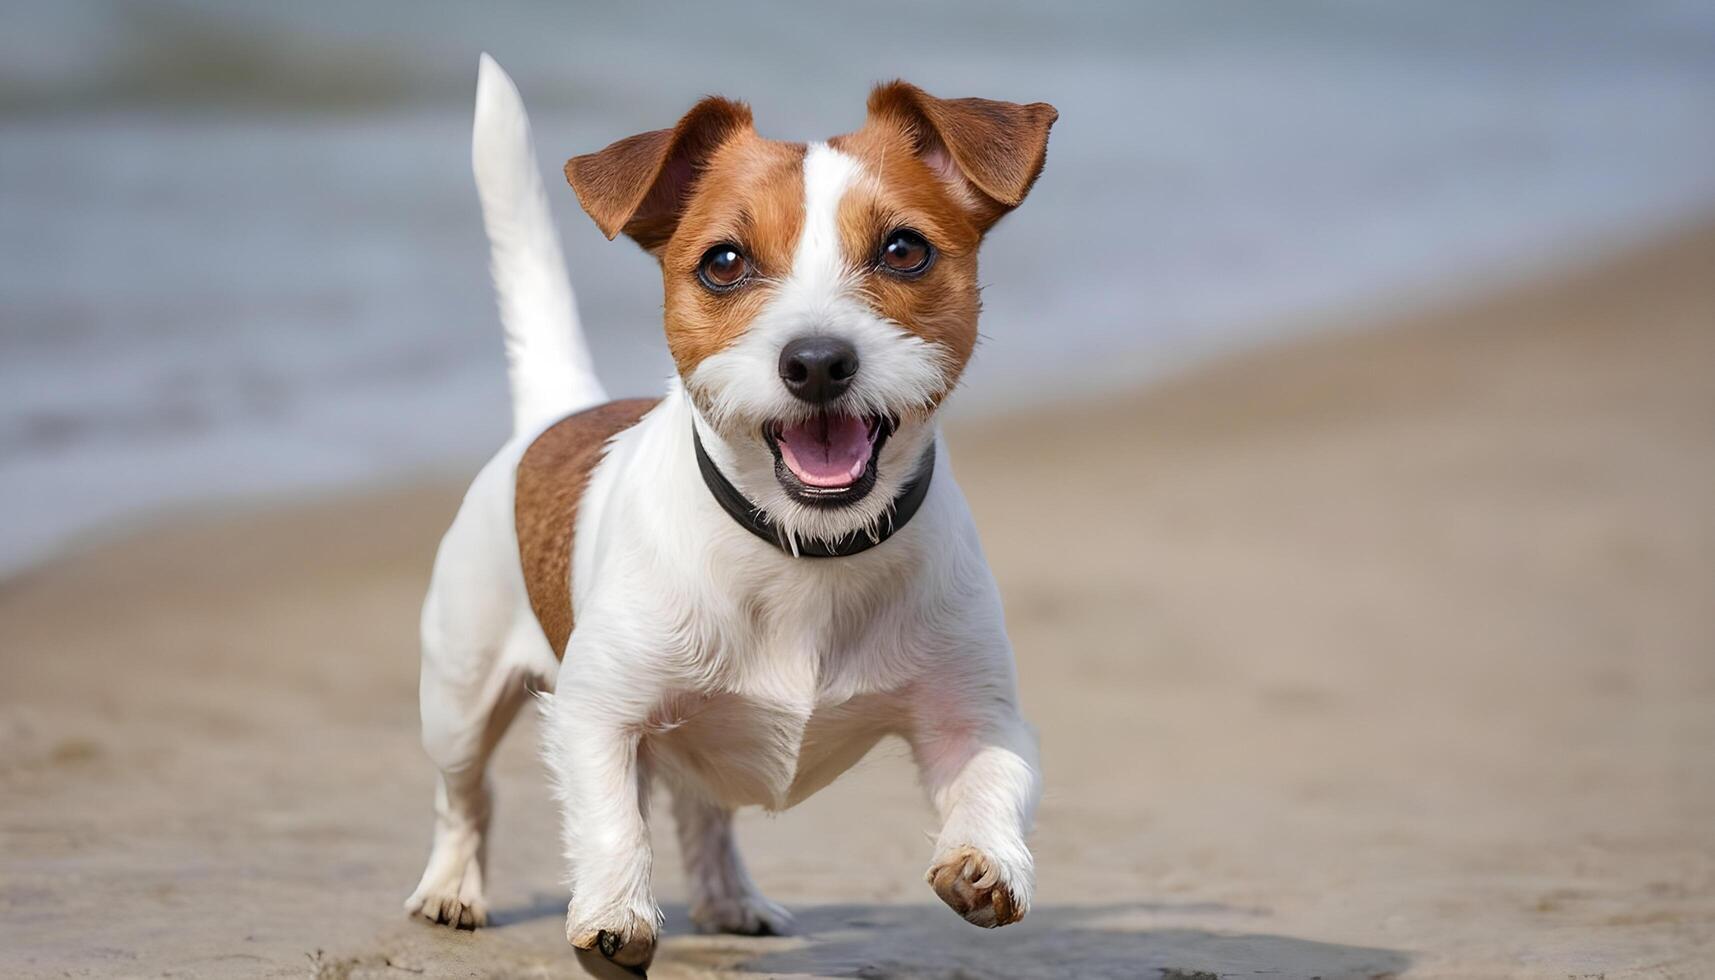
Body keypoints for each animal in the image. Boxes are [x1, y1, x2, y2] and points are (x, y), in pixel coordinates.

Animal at [408, 57, 1056, 974]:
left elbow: (992, 782)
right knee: (464, 797)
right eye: (723, 262)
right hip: (458, 698)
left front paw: (985, 860)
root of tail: (562, 412)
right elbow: (611, 821)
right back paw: (452, 888)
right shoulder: (597, 715)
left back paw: (728, 897)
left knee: (700, 809)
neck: (807, 551)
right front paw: (613, 914)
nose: (816, 361)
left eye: (903, 250)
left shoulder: (977, 717)